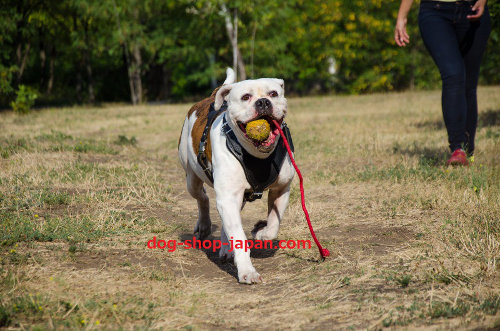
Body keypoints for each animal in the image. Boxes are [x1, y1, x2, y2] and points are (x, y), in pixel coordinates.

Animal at [178, 68, 292, 284]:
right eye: (246, 97)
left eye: (273, 93)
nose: (263, 102)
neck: (257, 155)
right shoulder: (228, 197)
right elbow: (239, 236)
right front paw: (247, 271)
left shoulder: (281, 188)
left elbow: (274, 223)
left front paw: (261, 232)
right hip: (191, 178)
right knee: (203, 198)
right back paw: (204, 226)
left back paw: (226, 248)